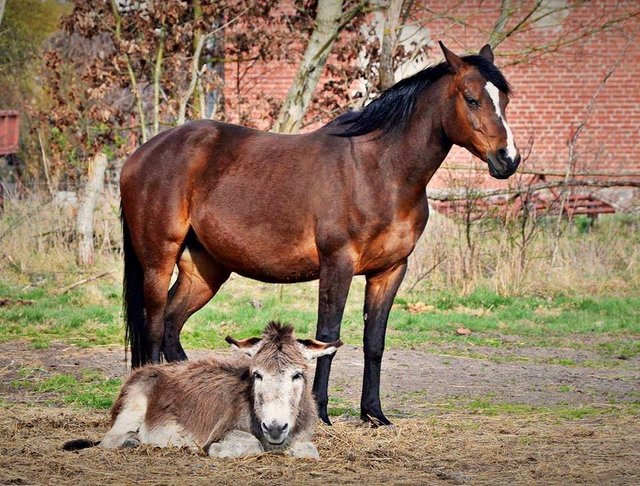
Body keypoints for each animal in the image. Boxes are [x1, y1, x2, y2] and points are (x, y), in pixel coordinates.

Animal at [120, 43, 520, 428]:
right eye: (471, 98)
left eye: (503, 99)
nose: (508, 159)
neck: (380, 171)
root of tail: (140, 155)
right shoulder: (337, 264)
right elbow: (328, 337)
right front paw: (322, 412)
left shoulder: (389, 271)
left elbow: (374, 342)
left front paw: (374, 414)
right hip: (159, 260)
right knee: (155, 325)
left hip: (205, 271)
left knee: (171, 325)